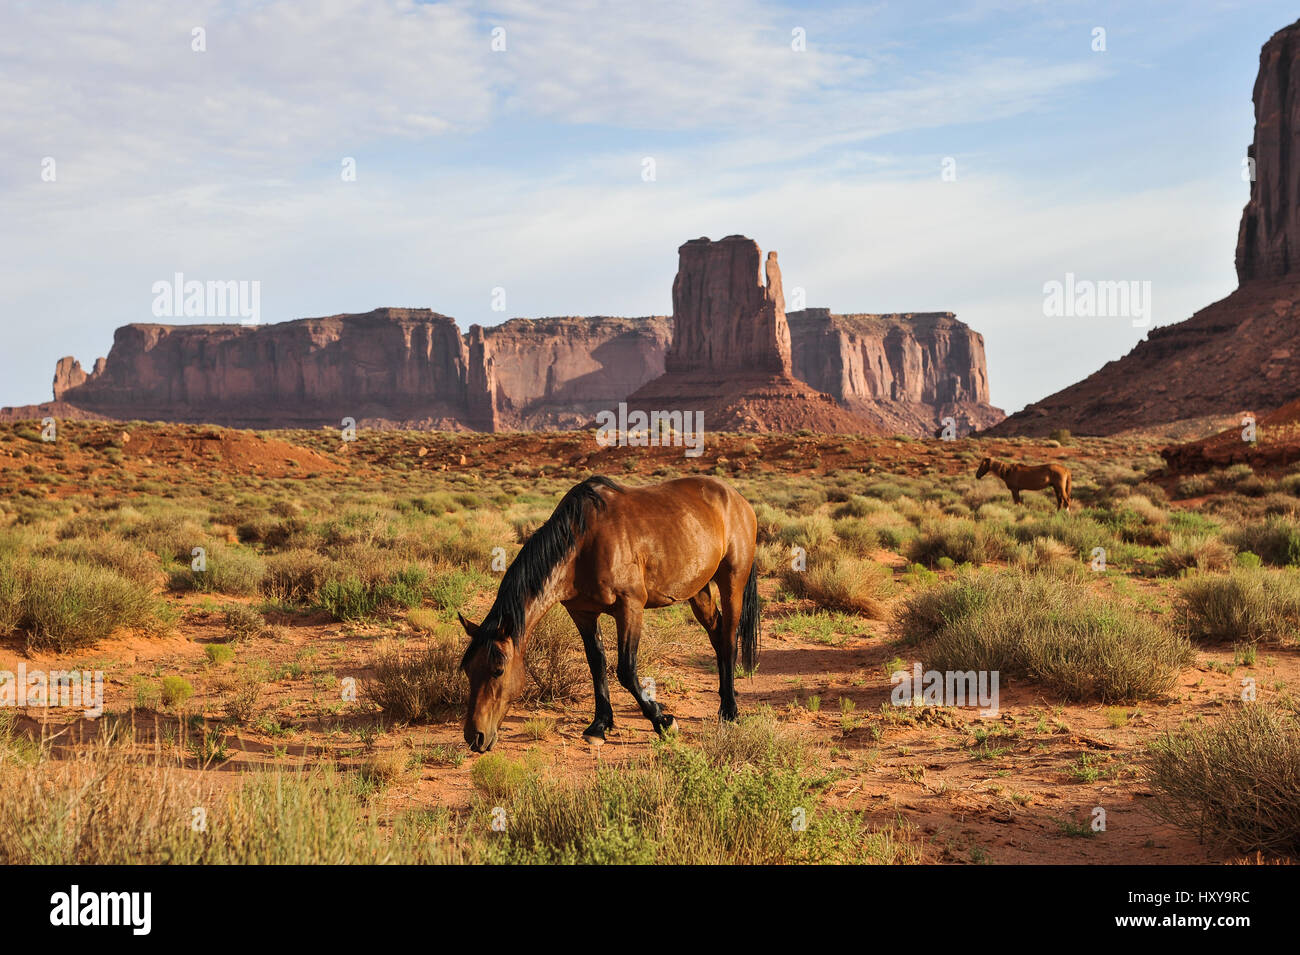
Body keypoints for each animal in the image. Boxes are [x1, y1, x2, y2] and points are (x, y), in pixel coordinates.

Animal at [460, 475, 759, 748]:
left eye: (498, 670)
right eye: (468, 670)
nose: (475, 737)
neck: (583, 544)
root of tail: (737, 499)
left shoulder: (630, 607)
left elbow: (625, 670)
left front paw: (663, 721)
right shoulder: (582, 614)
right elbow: (597, 664)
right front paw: (599, 725)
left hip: (732, 581)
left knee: (729, 639)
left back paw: (730, 711)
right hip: (698, 589)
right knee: (717, 635)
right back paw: (724, 700)